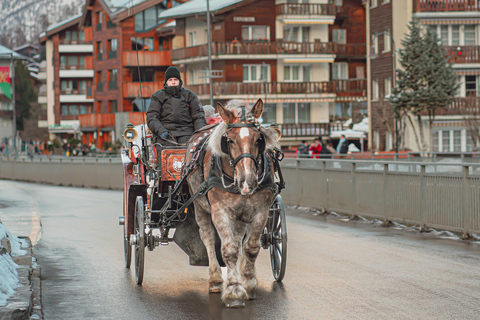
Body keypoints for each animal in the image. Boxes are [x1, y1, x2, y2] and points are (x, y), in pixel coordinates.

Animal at [186, 99, 280, 308]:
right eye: (229, 140)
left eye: (258, 139)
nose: (247, 180)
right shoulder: (220, 211)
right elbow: (228, 250)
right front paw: (234, 291)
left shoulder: (261, 211)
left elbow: (250, 248)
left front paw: (248, 283)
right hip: (199, 207)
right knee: (208, 237)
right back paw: (215, 279)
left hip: (241, 217)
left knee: (239, 240)